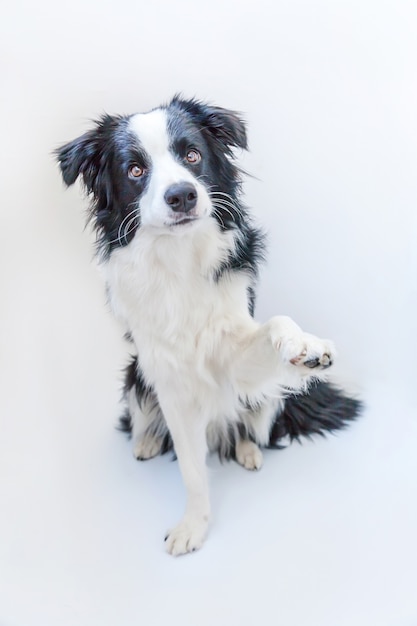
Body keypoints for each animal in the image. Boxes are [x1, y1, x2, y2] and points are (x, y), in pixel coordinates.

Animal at [56, 97, 360, 556]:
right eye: (135, 170)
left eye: (192, 155)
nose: (182, 195)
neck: (179, 258)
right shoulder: (169, 381)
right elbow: (191, 468)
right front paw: (193, 526)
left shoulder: (232, 353)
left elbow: (275, 324)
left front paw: (304, 345)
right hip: (135, 375)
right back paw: (146, 442)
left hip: (267, 400)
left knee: (249, 424)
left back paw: (249, 451)